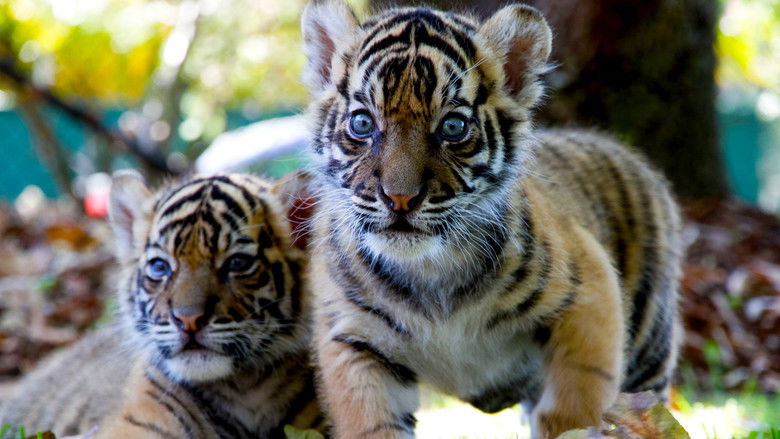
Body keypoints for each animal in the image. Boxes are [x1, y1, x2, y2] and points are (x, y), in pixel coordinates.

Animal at [300, 1, 682, 438]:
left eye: (452, 127)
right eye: (362, 123)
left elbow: (575, 409)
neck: (428, 272)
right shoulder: (353, 340)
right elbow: (372, 423)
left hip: (649, 349)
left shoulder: (589, 296)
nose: (400, 199)